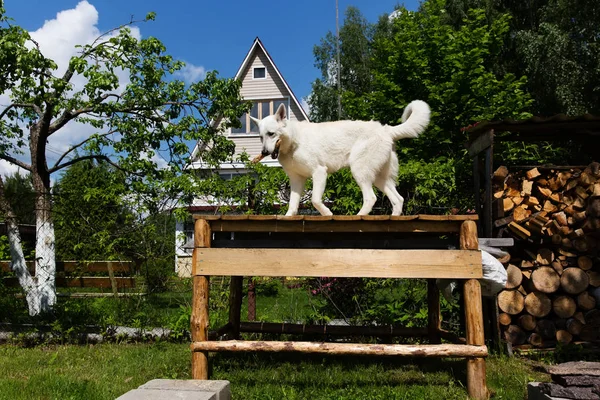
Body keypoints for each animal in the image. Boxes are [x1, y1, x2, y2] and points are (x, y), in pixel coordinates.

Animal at [250, 101, 432, 217]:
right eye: (260, 137)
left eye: (271, 134)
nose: (264, 151)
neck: (294, 141)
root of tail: (386, 129)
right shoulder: (296, 180)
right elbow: (292, 206)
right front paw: (288, 217)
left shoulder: (319, 173)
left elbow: (315, 200)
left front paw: (327, 213)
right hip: (379, 178)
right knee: (398, 199)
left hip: (360, 171)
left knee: (371, 198)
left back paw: (359, 216)